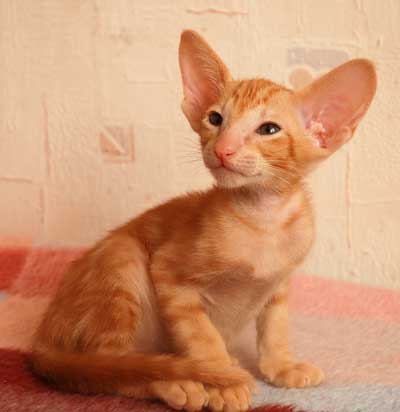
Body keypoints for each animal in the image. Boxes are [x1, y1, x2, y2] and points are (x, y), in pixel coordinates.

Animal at [29, 29, 376, 412]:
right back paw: (179, 383)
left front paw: (281, 366)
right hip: (122, 258)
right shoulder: (171, 276)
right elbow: (202, 336)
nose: (223, 149)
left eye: (269, 129)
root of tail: (42, 338)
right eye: (215, 119)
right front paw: (223, 381)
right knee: (113, 365)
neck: (262, 220)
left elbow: (275, 328)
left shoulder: (278, 285)